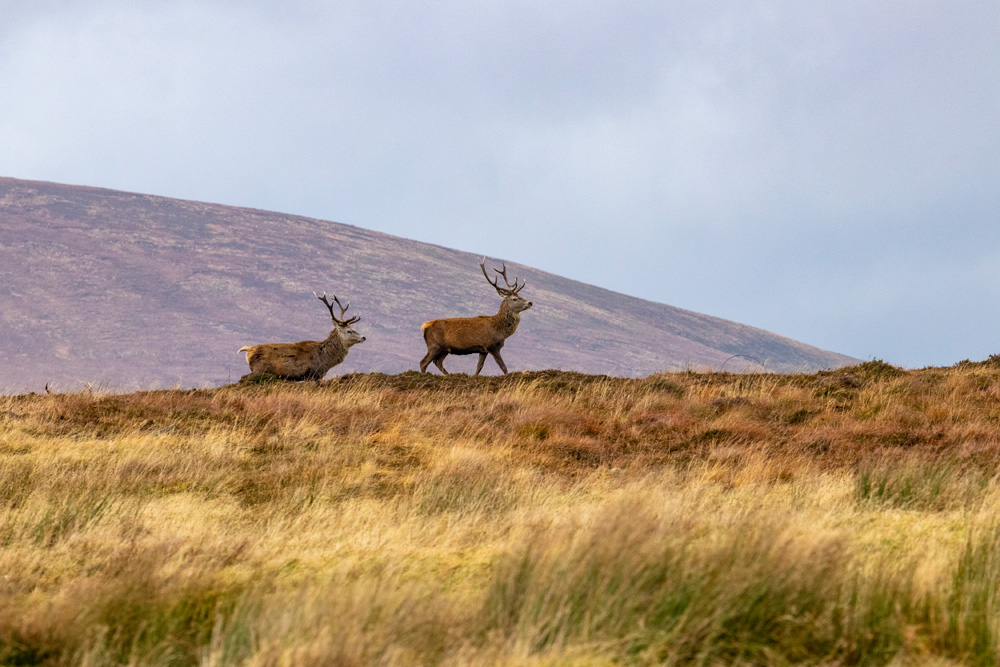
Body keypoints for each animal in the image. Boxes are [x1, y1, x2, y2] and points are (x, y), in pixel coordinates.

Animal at [238, 292, 368, 380]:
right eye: (349, 331)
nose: (363, 337)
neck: (326, 359)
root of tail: (249, 349)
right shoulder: (313, 374)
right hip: (259, 369)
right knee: (243, 378)